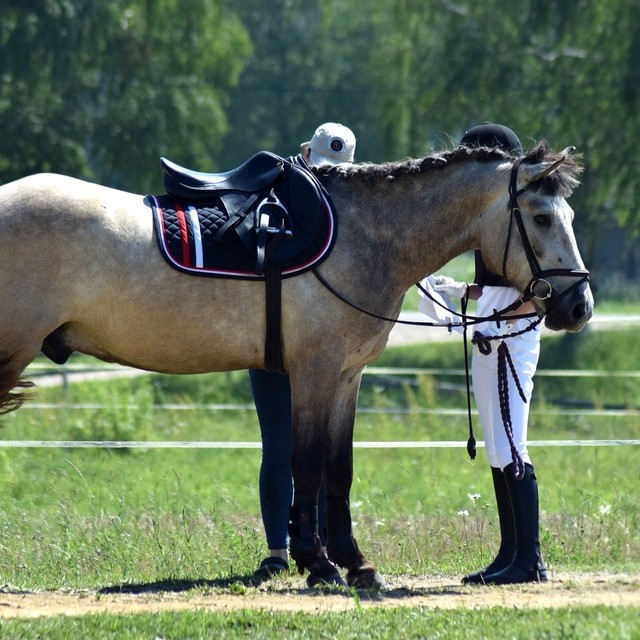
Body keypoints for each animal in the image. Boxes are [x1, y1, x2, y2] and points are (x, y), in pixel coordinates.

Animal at [0, 141, 593, 588]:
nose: (579, 307)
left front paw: (355, 563)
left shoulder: (347, 377)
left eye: (568, 215)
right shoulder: (314, 371)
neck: (360, 236)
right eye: (542, 217)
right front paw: (319, 564)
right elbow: (306, 465)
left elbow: (339, 469)